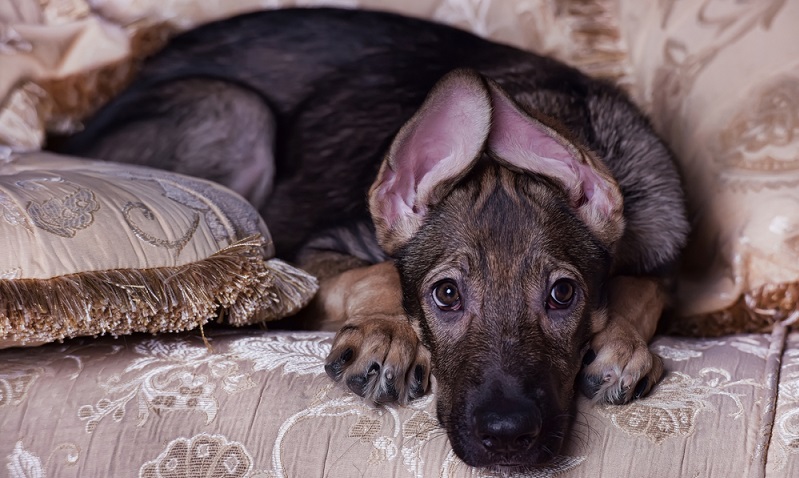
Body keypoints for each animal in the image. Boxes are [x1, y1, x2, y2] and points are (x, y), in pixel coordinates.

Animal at [61, 8, 688, 470]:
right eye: (445, 295)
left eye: (563, 295)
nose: (507, 438)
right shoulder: (312, 254)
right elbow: (383, 269)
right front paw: (388, 334)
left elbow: (647, 287)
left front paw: (622, 344)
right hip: (236, 113)